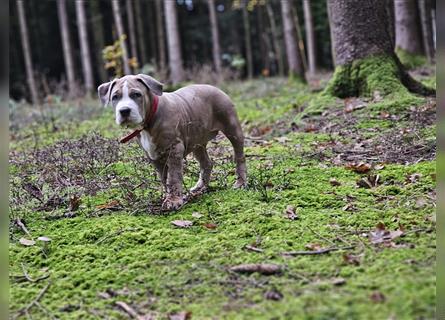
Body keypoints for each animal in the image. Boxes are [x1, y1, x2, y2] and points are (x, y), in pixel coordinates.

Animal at [96, 74, 246, 210]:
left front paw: (173, 200)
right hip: (197, 141)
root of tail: (214, 87)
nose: (124, 110)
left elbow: (173, 177)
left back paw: (241, 182)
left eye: (136, 94)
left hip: (232, 127)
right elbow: (164, 178)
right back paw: (200, 188)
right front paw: (167, 196)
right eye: (115, 97)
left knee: (239, 156)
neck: (149, 121)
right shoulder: (153, 155)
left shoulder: (174, 149)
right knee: (206, 163)